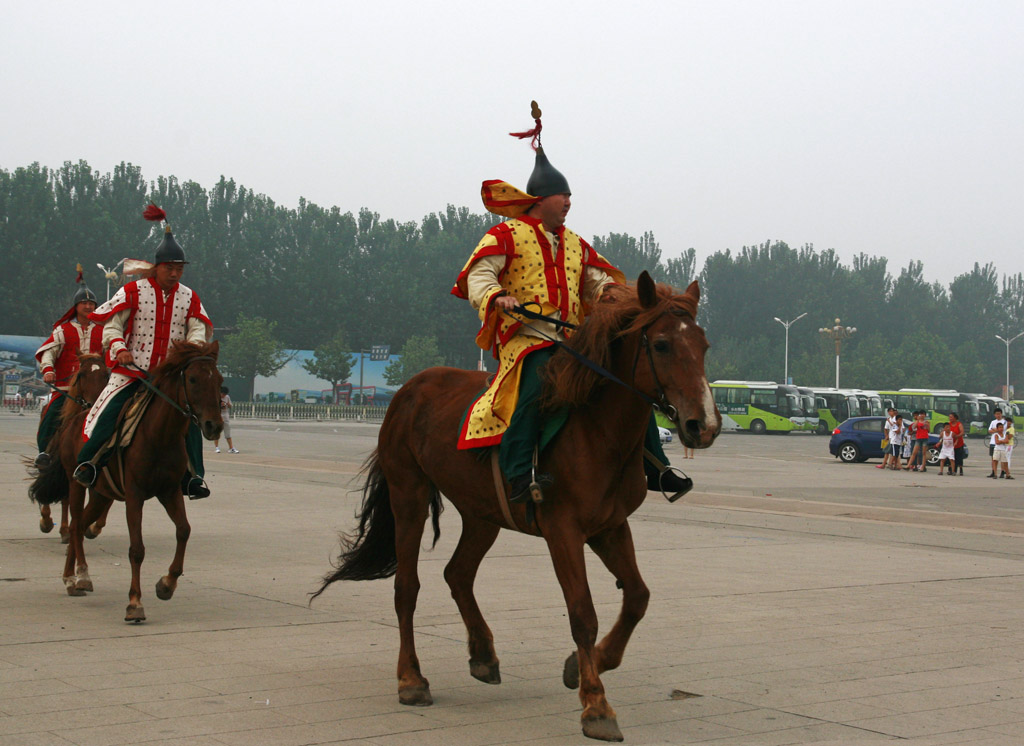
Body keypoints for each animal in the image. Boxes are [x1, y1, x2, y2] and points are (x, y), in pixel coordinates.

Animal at [315, 274, 724, 740]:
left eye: (703, 345)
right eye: (661, 345)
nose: (703, 425)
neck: (599, 430)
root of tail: (408, 391)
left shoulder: (610, 526)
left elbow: (637, 596)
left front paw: (583, 666)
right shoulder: (562, 528)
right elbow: (582, 612)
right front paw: (596, 705)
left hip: (482, 513)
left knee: (458, 573)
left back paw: (482, 654)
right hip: (409, 493)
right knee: (407, 587)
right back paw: (411, 679)